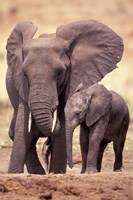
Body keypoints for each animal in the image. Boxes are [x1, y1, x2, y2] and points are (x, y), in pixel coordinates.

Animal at [5, 19, 122, 173]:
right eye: (24, 74)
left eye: (60, 72)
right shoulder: (21, 84)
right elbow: (21, 126)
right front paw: (14, 173)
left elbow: (62, 126)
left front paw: (57, 173)